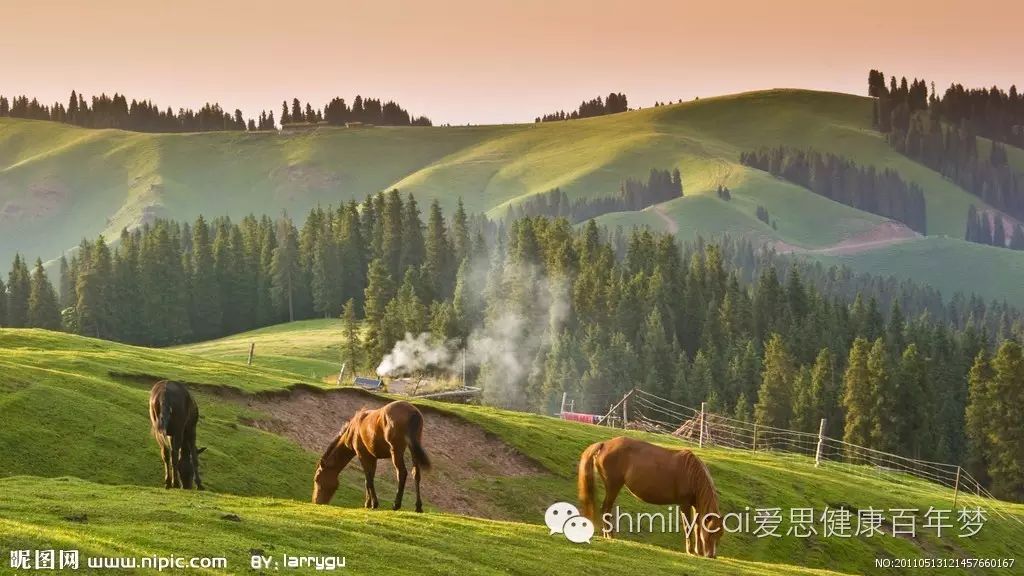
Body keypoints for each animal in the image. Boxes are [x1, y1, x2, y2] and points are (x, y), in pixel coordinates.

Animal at [581, 436, 724, 553]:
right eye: (711, 533)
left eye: (720, 535)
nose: (711, 556)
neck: (692, 474)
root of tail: (604, 444)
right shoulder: (684, 504)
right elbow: (688, 526)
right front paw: (691, 551)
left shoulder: (695, 505)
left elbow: (697, 527)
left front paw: (698, 551)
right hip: (613, 486)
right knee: (606, 509)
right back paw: (610, 536)